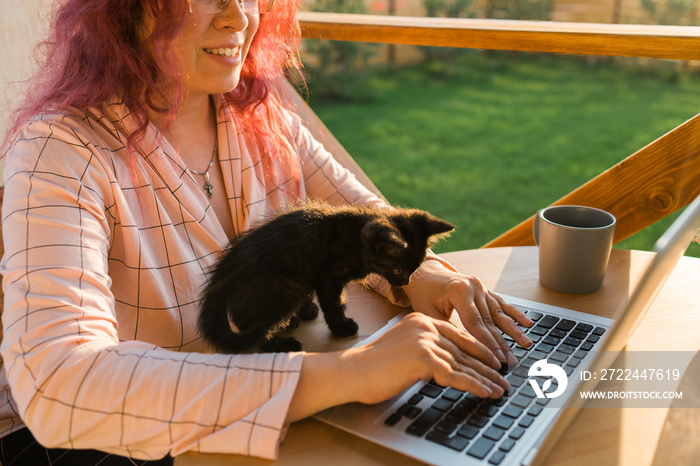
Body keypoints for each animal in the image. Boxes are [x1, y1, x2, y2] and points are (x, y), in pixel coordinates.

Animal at [200, 201, 454, 354]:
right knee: (251, 326)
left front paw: (307, 311)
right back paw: (283, 343)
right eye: (398, 270)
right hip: (287, 285)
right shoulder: (329, 278)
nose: (404, 282)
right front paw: (342, 327)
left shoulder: (311, 273)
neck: (356, 238)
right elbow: (335, 305)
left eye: (414, 269)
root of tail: (225, 270)